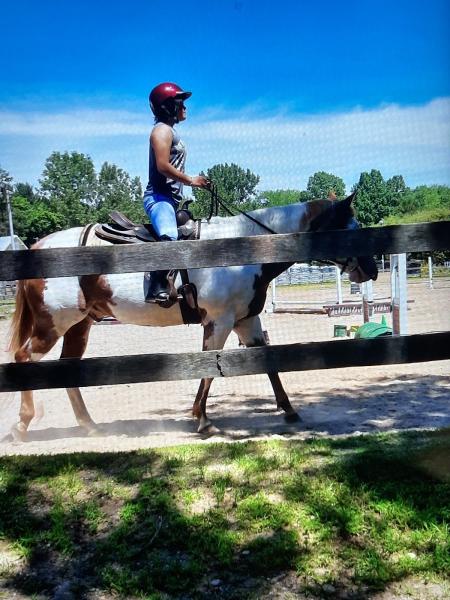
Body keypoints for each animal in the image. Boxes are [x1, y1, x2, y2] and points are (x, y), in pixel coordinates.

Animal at [8, 193, 378, 440]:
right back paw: (22, 424)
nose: (373, 269)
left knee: (67, 369)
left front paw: (289, 410)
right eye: (350, 228)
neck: (239, 249)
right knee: (24, 357)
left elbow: (268, 362)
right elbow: (208, 369)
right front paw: (202, 420)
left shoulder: (246, 321)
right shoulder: (219, 322)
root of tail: (37, 247)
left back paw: (89, 425)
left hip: (79, 325)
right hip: (53, 324)